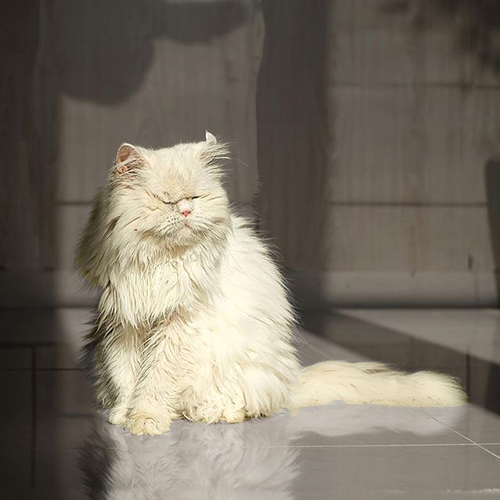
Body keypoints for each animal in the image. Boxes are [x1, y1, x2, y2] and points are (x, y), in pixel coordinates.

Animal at [76, 131, 466, 436]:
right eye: (165, 200)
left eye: (195, 198)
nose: (186, 211)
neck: (160, 263)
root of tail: (292, 382)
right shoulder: (123, 325)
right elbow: (127, 379)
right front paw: (123, 416)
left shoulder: (179, 326)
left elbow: (155, 381)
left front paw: (146, 420)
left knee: (248, 404)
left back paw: (215, 413)